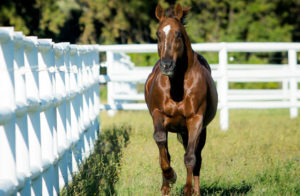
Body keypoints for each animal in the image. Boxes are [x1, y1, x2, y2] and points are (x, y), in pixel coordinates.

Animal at [145, 3, 218, 196]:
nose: (166, 65)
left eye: (178, 33)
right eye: (158, 34)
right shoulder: (158, 114)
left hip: (198, 131)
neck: (177, 85)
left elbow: (191, 158)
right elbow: (161, 142)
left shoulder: (195, 121)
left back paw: (196, 191)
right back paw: (165, 187)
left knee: (197, 157)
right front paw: (170, 176)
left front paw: (188, 190)